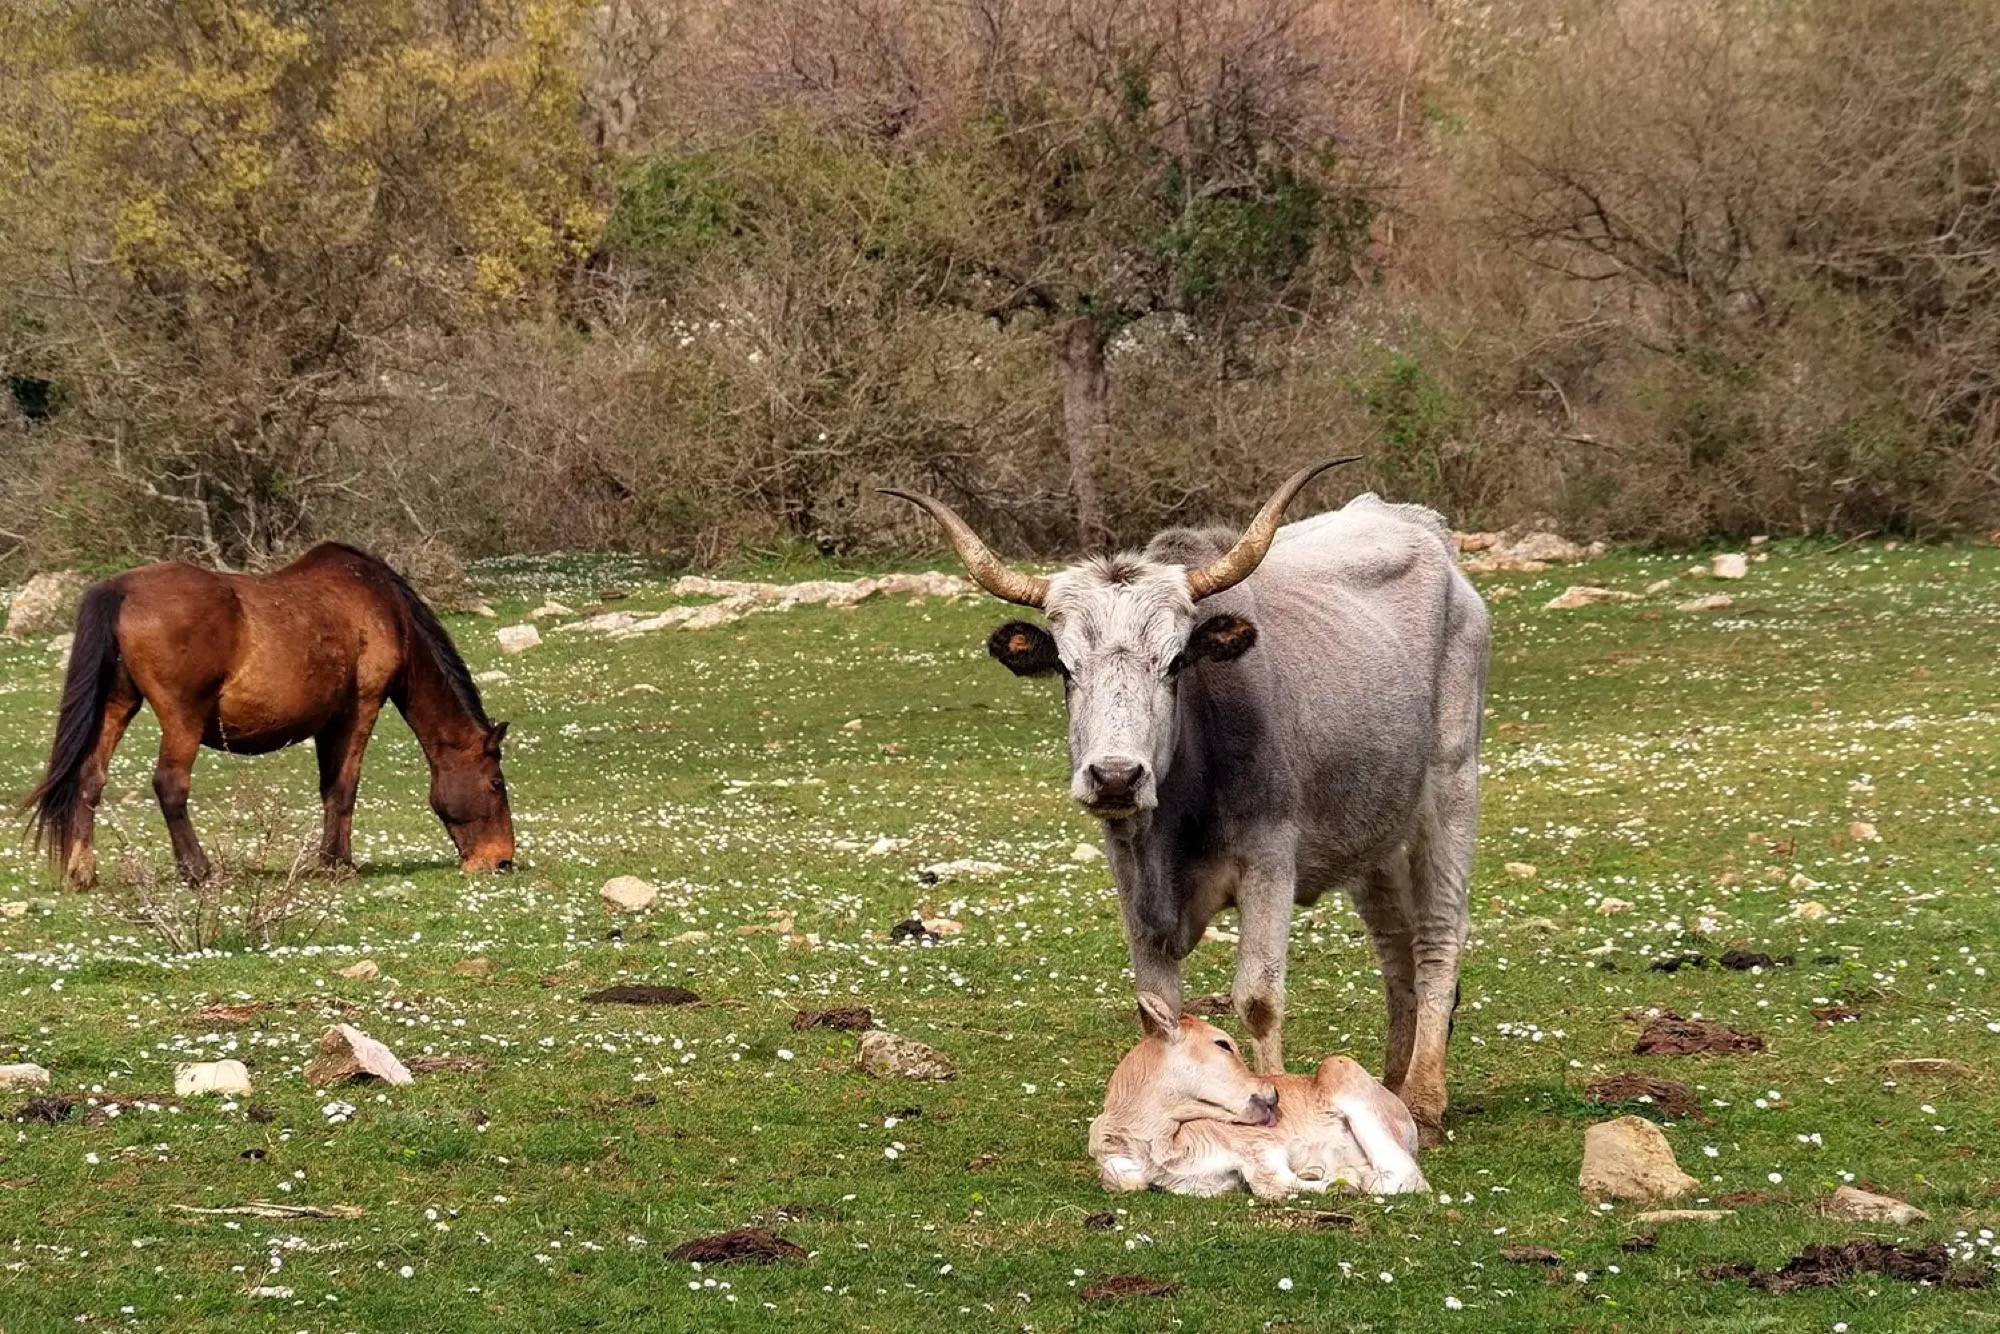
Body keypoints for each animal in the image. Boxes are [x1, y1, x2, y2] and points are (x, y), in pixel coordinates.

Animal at [24, 543, 515, 886]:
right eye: (495, 782)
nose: (501, 860)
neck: (380, 608)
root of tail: (121, 589)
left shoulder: (329, 722)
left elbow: (329, 789)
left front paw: (329, 859)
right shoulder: (361, 708)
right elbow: (345, 788)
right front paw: (339, 864)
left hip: (119, 705)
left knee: (90, 779)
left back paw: (82, 871)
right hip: (182, 718)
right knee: (170, 786)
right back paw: (199, 871)